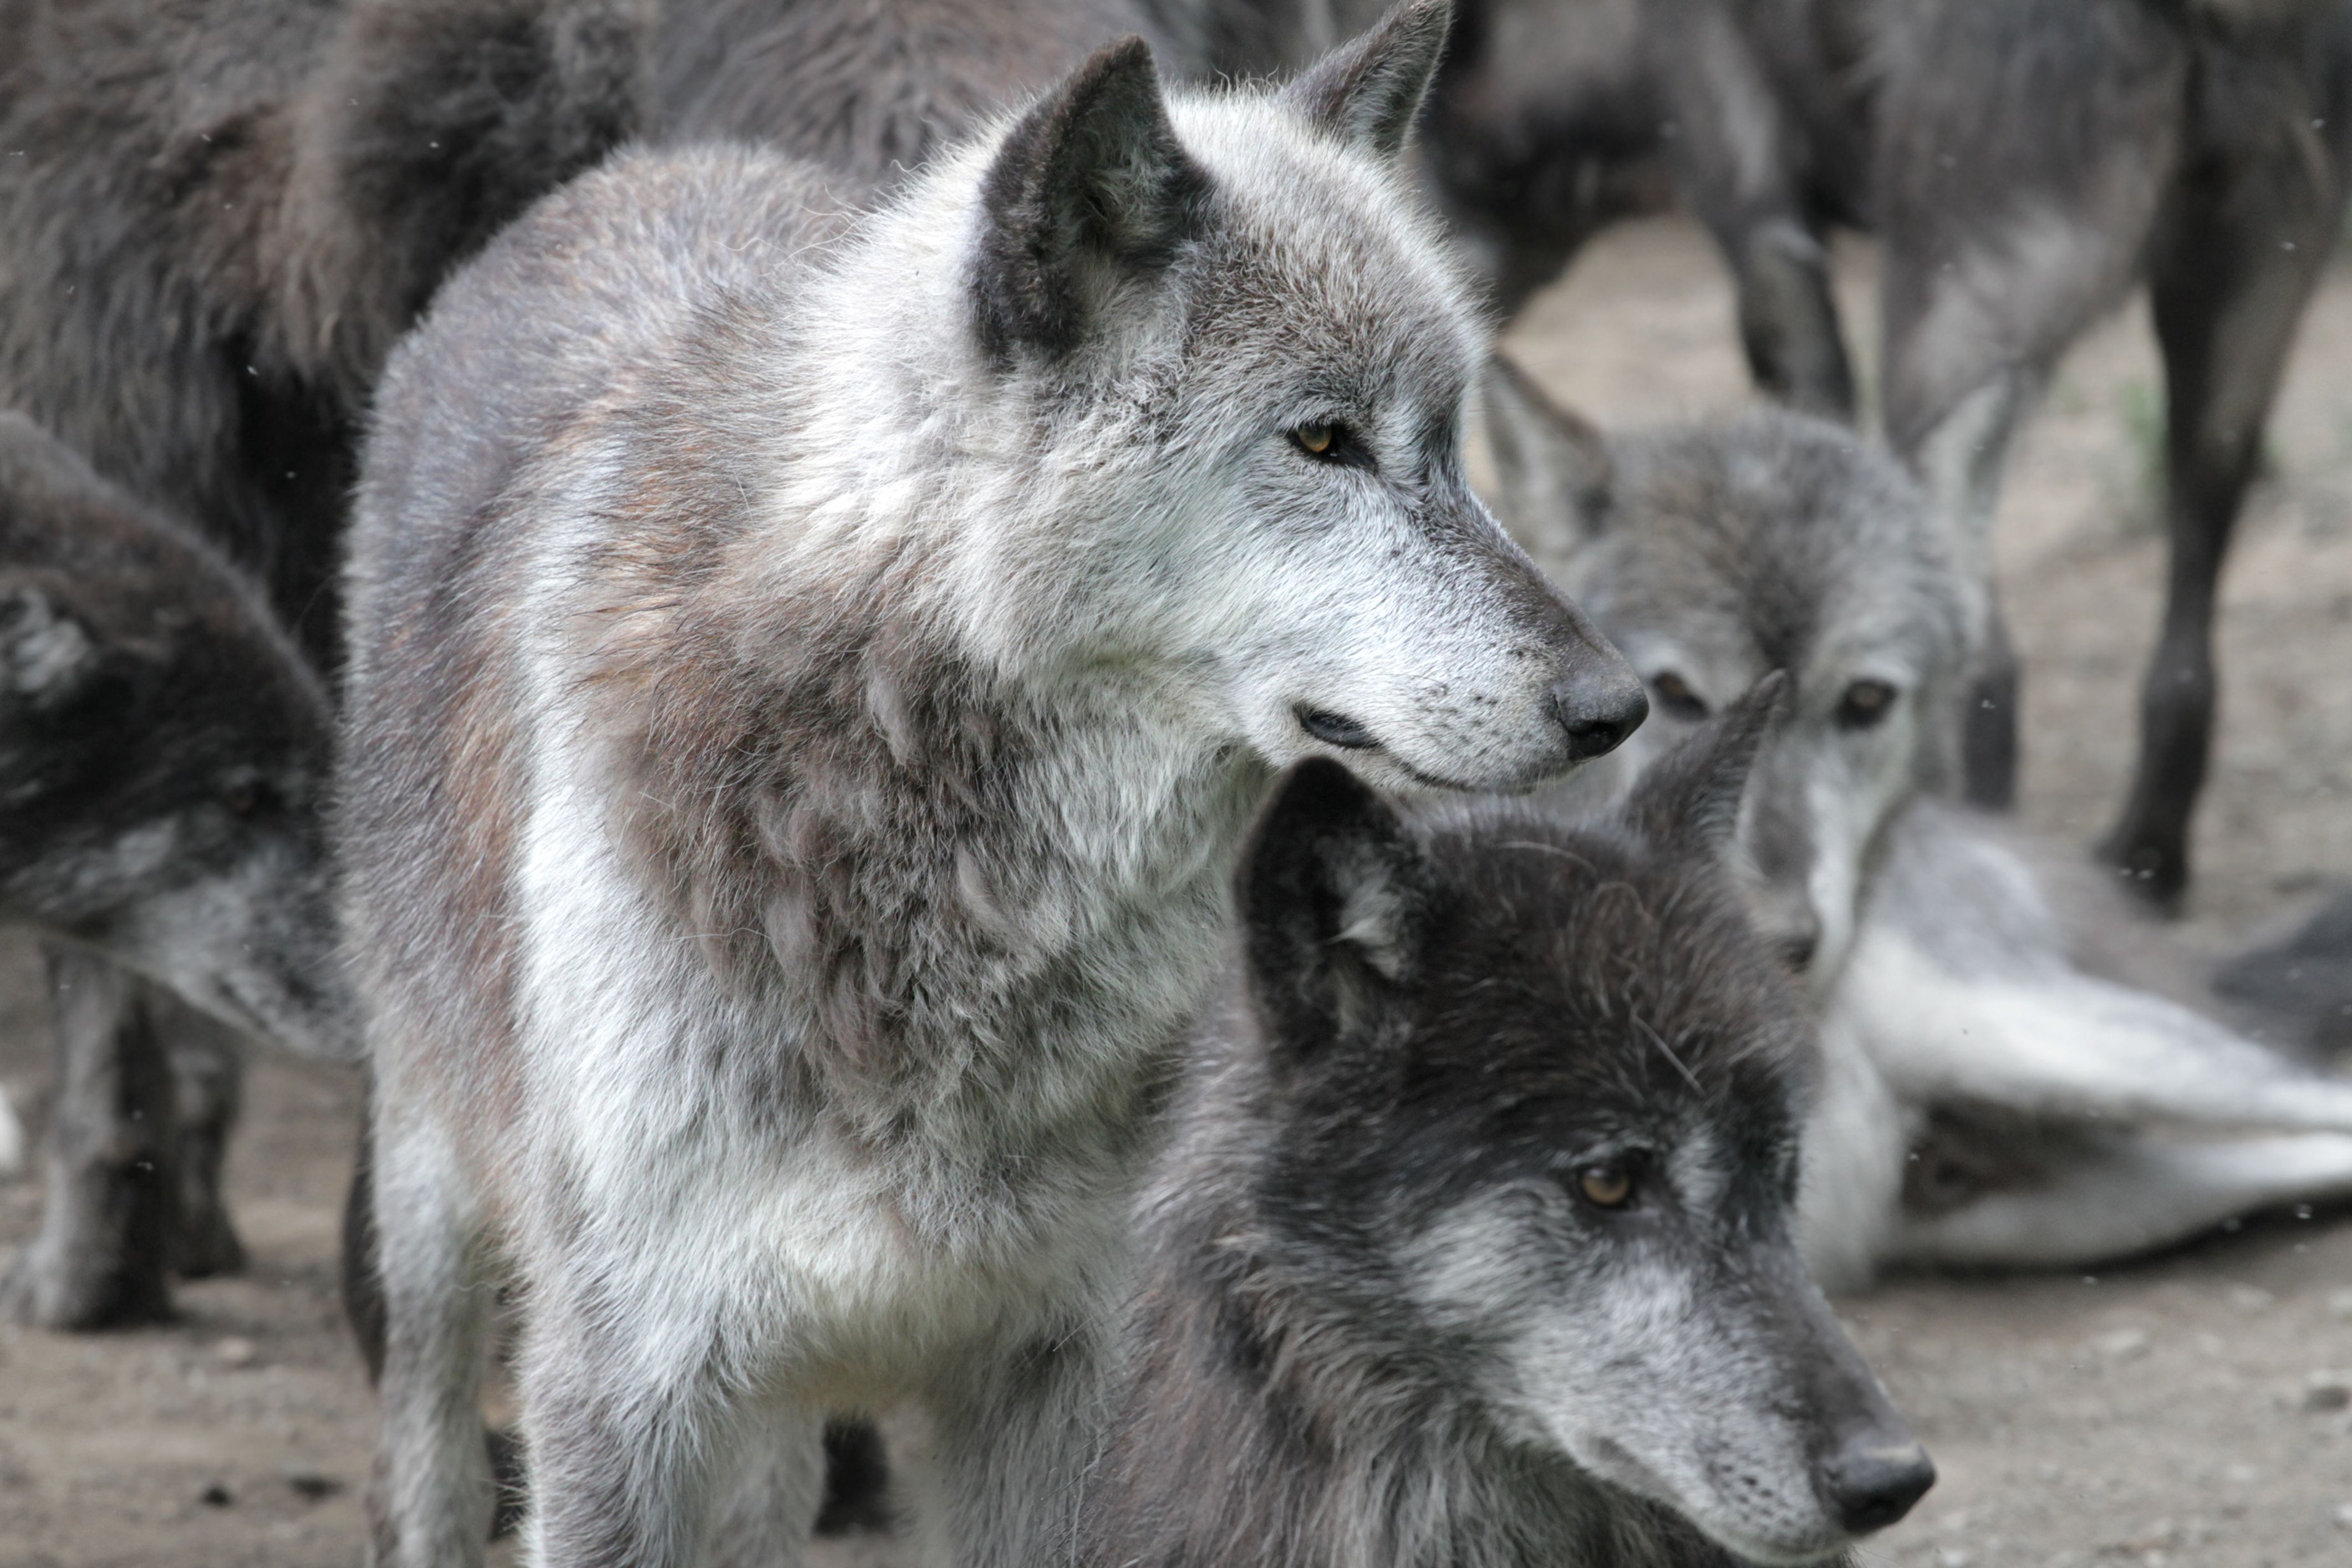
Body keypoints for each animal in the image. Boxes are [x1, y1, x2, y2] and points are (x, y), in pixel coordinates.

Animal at [339, 7, 1645, 1561]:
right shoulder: (618, 1391)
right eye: (1324, 440)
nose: (1615, 705)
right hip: (433, 1201)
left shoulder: (1067, 1374)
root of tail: (648, 170)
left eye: (1451, 441)